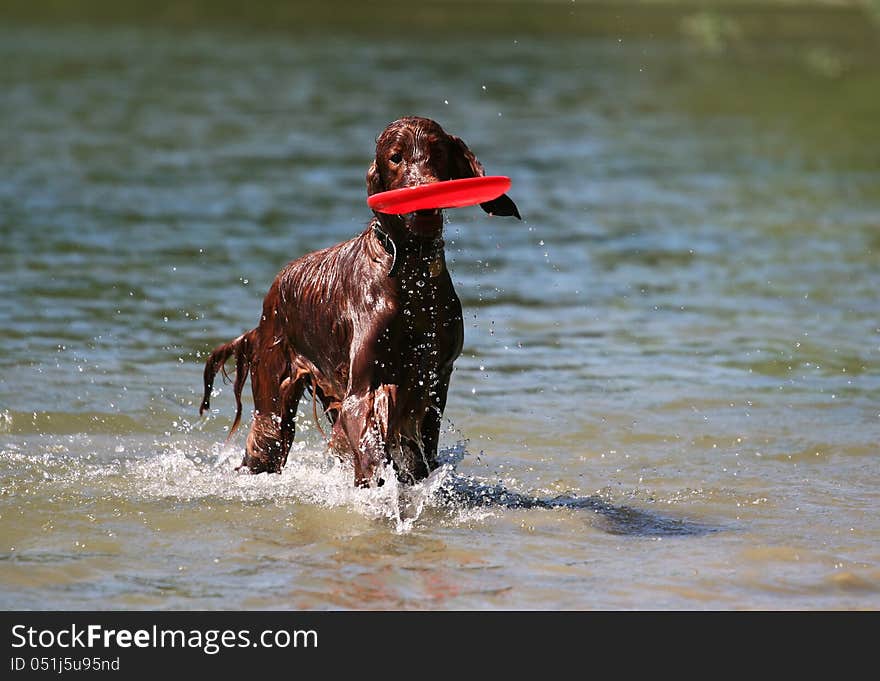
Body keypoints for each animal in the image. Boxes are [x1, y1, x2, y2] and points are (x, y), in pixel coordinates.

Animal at [199, 118, 520, 488]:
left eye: (437, 152)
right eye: (395, 157)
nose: (424, 203)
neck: (411, 274)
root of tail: (272, 295)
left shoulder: (435, 382)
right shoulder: (363, 391)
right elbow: (369, 451)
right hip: (273, 412)